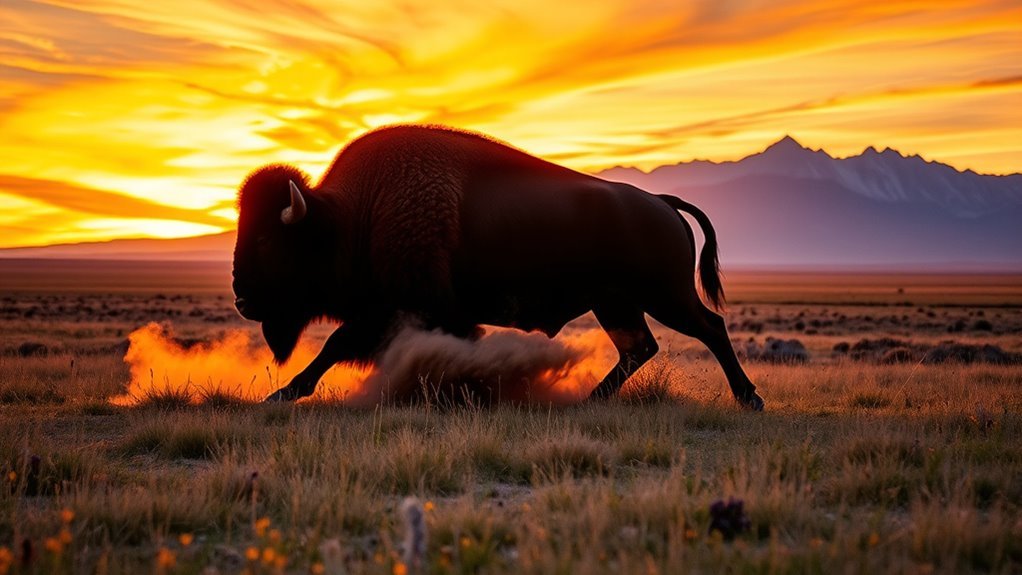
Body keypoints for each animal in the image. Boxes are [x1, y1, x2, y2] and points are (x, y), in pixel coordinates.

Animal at [232, 125, 764, 409]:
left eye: (266, 238)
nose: (240, 296)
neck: (353, 216)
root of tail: (660, 202)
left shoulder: (396, 310)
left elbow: (335, 346)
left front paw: (283, 394)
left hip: (664, 296)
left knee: (709, 328)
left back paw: (749, 399)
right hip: (616, 304)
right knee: (640, 347)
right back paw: (591, 401)